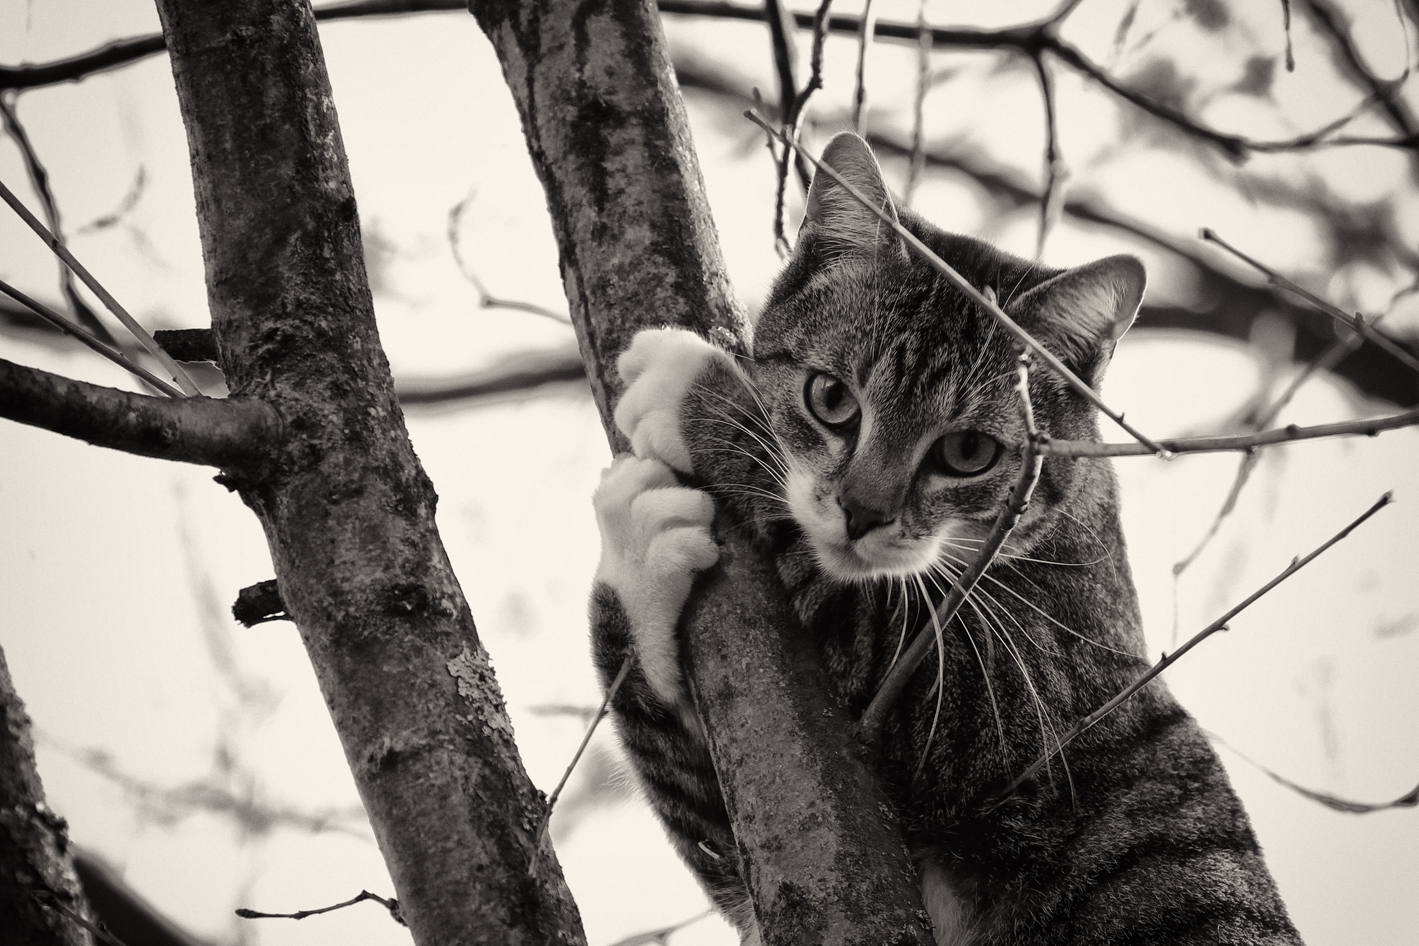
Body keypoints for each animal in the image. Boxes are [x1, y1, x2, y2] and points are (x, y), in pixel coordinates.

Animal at [584, 133, 1299, 946]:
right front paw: (639, 544)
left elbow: (882, 630)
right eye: (831, 397)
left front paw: (691, 386)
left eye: (967, 453)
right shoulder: (754, 861)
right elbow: (706, 813)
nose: (862, 512)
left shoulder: (1005, 707)